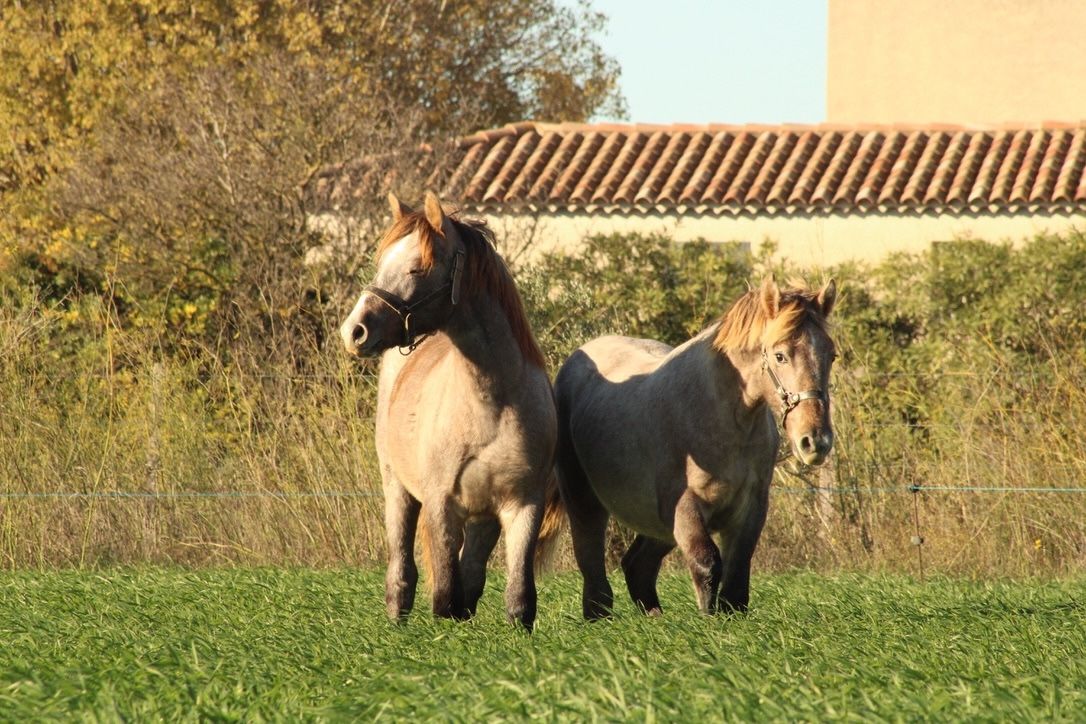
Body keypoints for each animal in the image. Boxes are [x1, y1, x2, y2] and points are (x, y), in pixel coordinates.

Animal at [338, 191, 560, 629]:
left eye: (417, 266)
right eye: (382, 263)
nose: (354, 331)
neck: (492, 403)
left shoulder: (522, 505)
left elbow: (517, 599)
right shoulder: (442, 505)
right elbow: (443, 595)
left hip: (482, 517)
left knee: (470, 577)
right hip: (398, 490)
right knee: (403, 569)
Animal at [556, 275, 834, 616]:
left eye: (831, 355)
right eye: (780, 355)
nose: (815, 440)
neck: (723, 417)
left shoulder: (751, 507)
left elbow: (737, 575)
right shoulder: (686, 507)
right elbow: (707, 564)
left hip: (657, 523)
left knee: (638, 565)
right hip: (584, 500)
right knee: (591, 559)